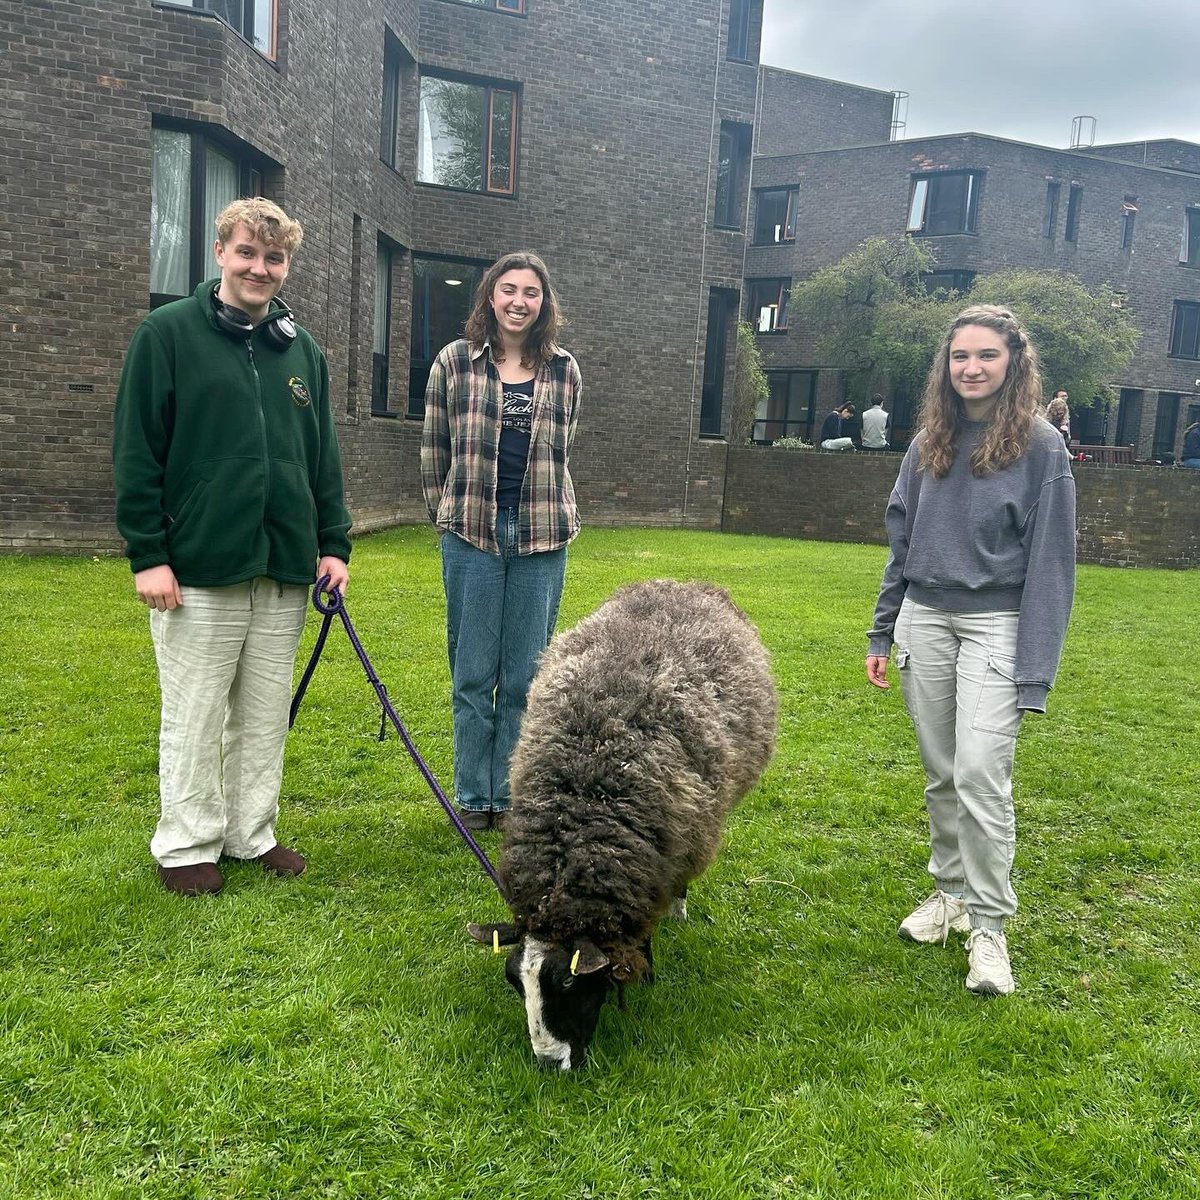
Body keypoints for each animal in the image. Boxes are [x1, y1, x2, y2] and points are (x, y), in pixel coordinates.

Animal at [468, 578, 777, 1070]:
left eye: (568, 982)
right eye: (515, 982)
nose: (549, 1062)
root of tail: (684, 582)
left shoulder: (663, 859)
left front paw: (647, 975)